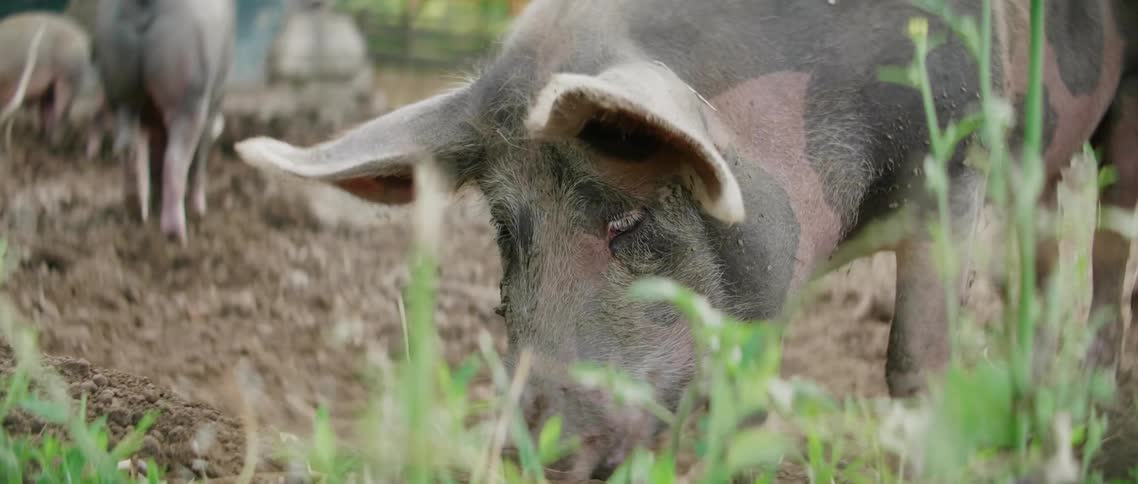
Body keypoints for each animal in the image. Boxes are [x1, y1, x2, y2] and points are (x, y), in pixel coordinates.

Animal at [0, 11, 100, 145]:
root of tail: (84, 36)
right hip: (49, 87)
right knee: (48, 110)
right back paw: (42, 137)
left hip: (67, 77)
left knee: (62, 112)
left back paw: (54, 142)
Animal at [92, 0, 236, 242]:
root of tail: (144, 5)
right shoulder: (214, 104)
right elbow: (200, 157)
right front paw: (200, 212)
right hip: (188, 87)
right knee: (175, 160)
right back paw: (176, 234)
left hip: (118, 85)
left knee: (128, 145)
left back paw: (137, 213)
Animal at [234, 0, 1138, 479]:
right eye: (505, 230)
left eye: (627, 223)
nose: (526, 449)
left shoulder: (958, 149)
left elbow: (915, 355)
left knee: (1109, 240)